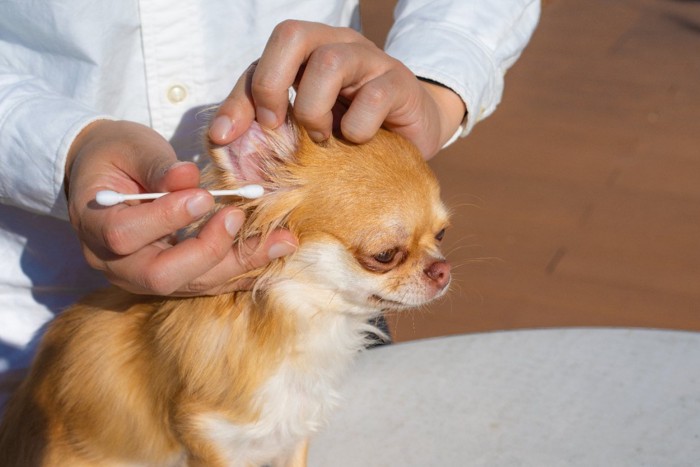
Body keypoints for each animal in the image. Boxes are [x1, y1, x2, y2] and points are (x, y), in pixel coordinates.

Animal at [0, 114, 448, 467]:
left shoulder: (291, 433)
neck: (303, 327)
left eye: (442, 233)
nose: (442, 270)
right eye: (384, 255)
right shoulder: (211, 443)